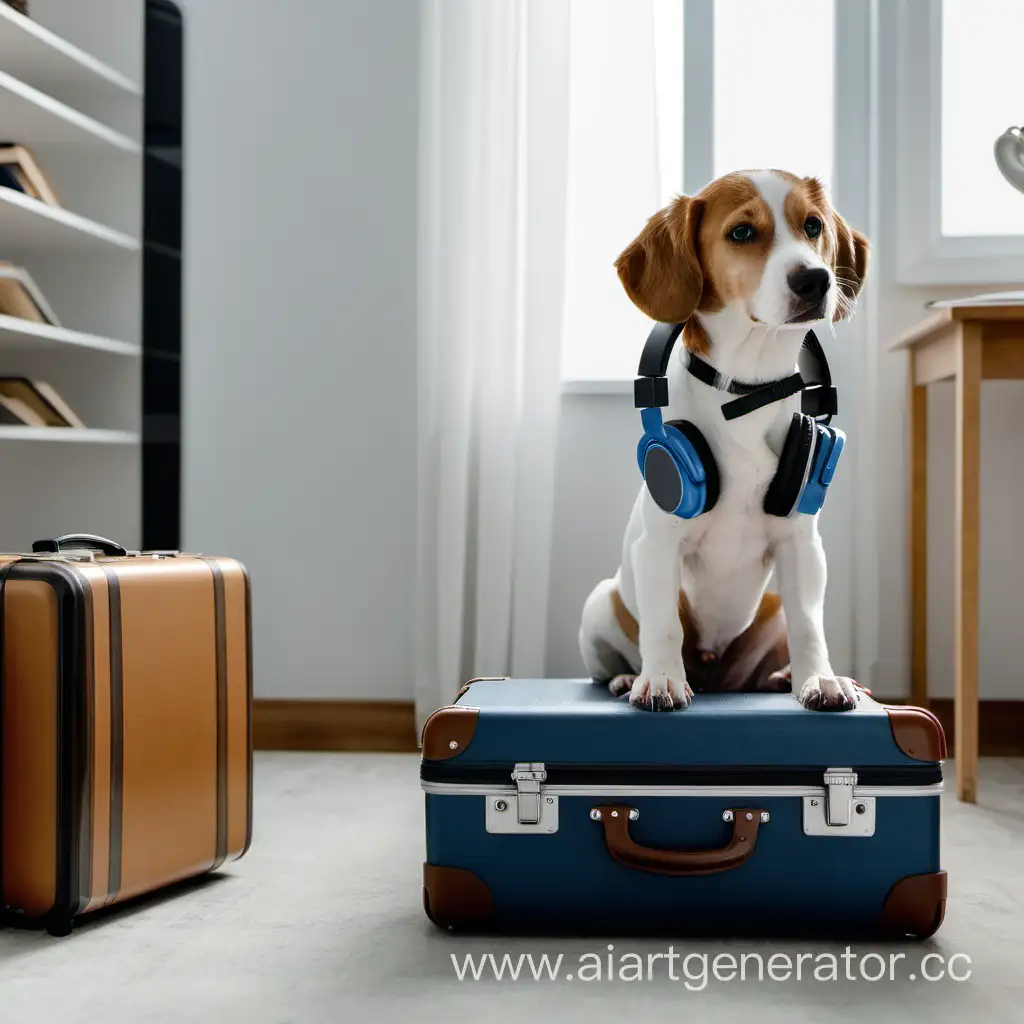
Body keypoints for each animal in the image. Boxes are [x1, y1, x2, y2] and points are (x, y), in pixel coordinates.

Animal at [581, 169, 868, 712]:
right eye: (741, 232)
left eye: (813, 225)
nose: (816, 279)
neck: (746, 393)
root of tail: (718, 674)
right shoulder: (659, 545)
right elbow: (663, 626)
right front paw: (661, 679)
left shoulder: (801, 546)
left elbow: (809, 625)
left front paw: (819, 678)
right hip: (600, 603)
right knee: (615, 655)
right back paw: (627, 677)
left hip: (768, 608)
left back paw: (781, 676)